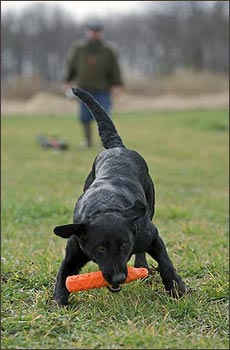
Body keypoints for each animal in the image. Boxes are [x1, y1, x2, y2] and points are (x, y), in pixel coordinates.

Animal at [53, 89, 186, 304]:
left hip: (150, 205)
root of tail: (117, 147)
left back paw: (143, 268)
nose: (118, 278)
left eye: (124, 245)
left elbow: (165, 262)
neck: (105, 207)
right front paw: (59, 303)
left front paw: (176, 289)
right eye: (100, 247)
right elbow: (64, 275)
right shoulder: (74, 251)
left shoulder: (151, 235)